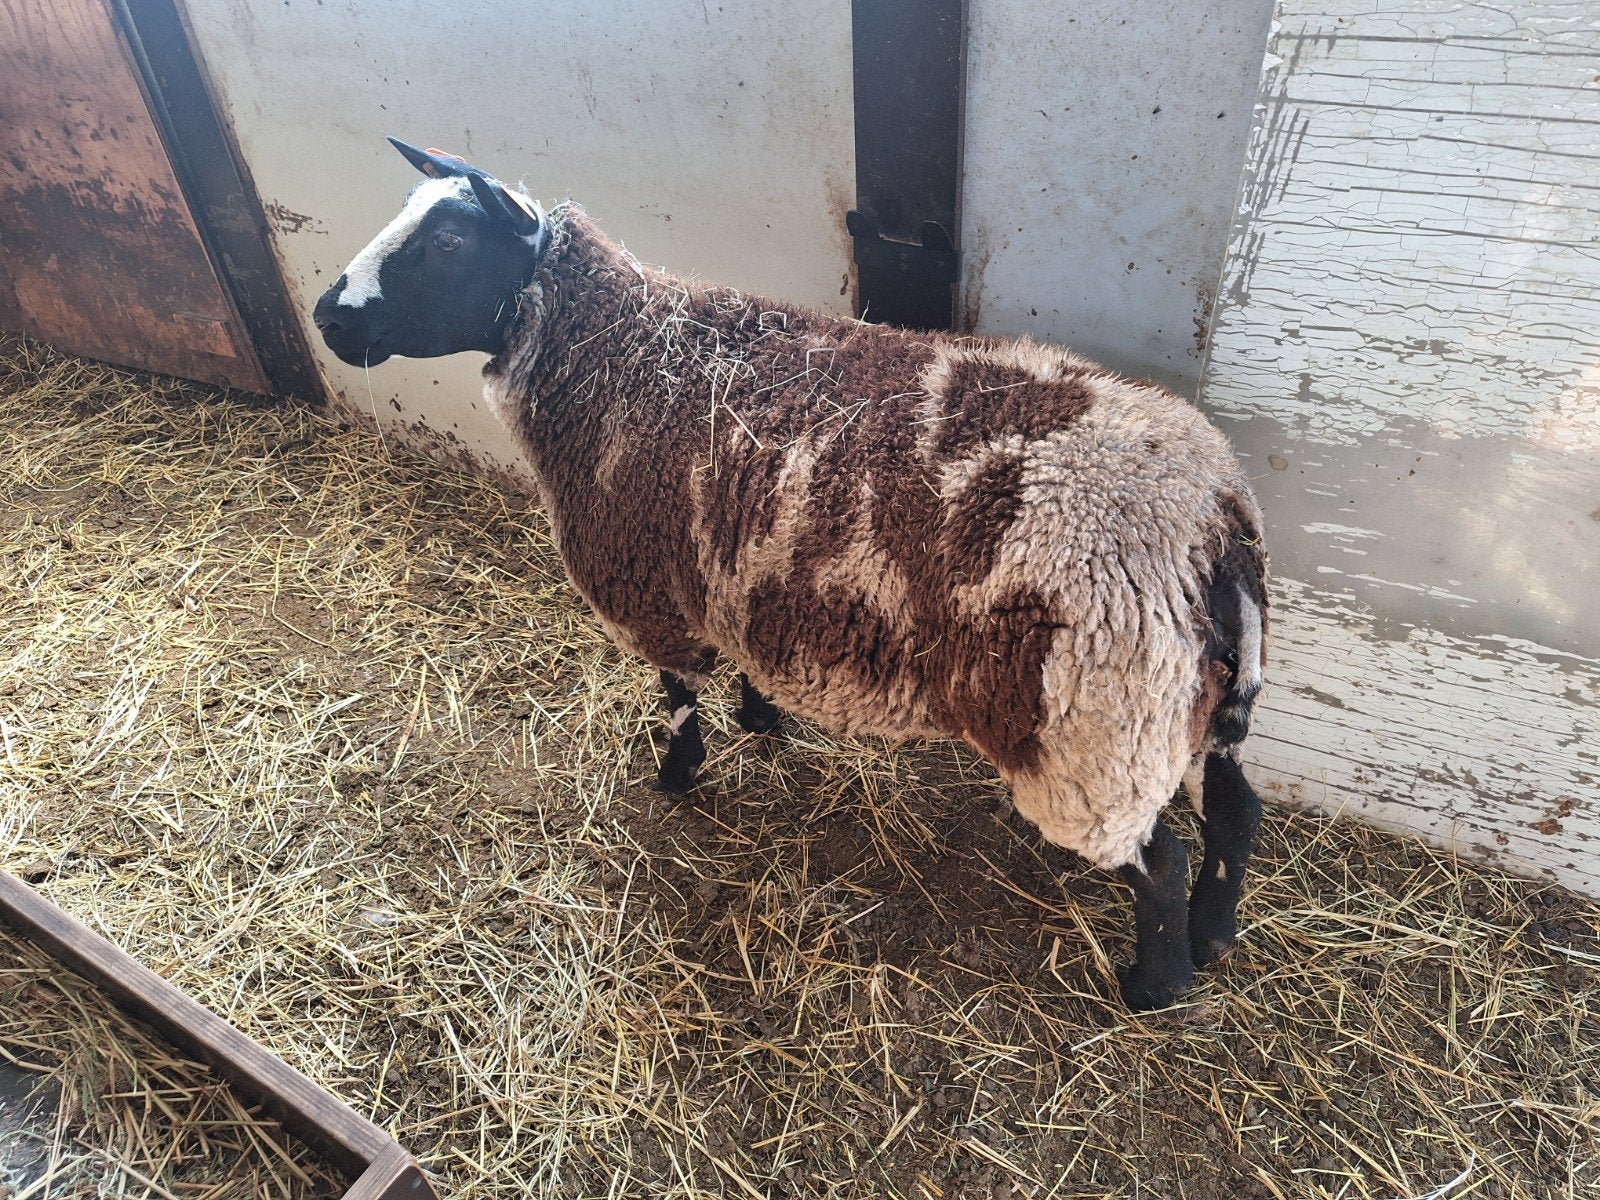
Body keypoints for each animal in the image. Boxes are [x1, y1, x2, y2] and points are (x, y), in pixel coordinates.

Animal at [312, 138, 1270, 1010]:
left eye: (447, 244)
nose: (328, 316)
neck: (618, 357)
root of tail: (1215, 517)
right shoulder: (735, 577)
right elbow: (740, 666)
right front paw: (760, 716)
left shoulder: (646, 586)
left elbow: (676, 693)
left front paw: (680, 772)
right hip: (1195, 700)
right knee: (1235, 809)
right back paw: (1218, 935)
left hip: (1094, 725)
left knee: (1160, 857)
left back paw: (1157, 983)